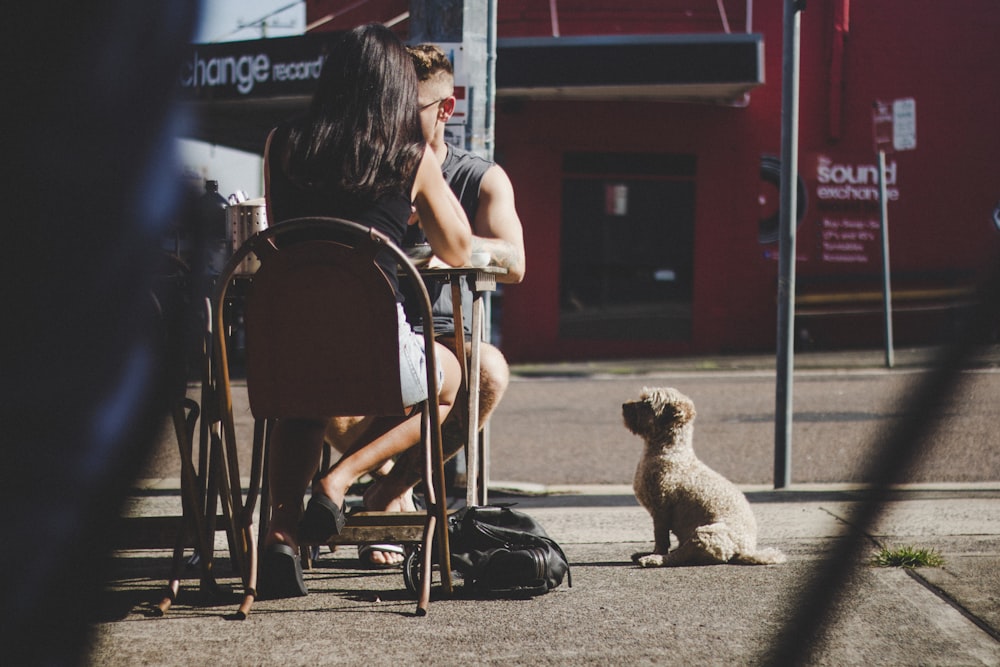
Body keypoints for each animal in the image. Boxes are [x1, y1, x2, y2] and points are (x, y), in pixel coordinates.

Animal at [620, 386, 784, 568]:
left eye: (647, 403)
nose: (624, 405)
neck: (670, 450)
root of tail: (746, 550)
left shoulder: (661, 509)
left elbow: (660, 539)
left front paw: (656, 554)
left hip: (704, 533)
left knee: (680, 556)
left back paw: (654, 559)